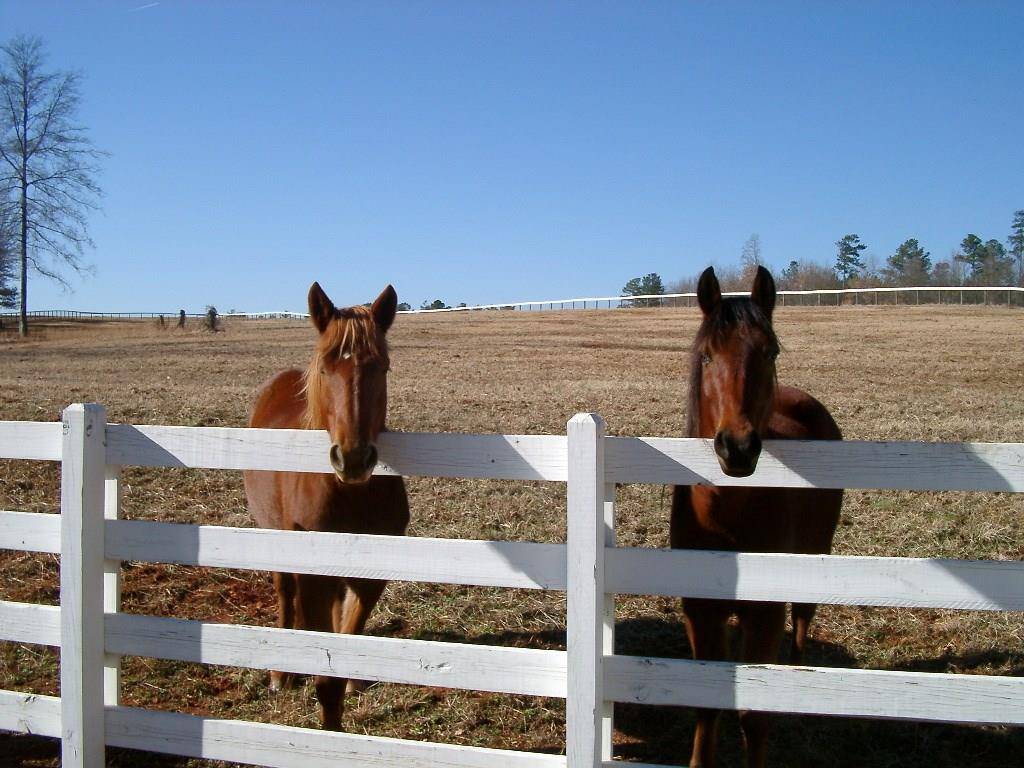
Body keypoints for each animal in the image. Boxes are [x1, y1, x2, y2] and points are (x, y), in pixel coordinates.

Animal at [242, 284, 407, 733]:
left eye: (382, 367)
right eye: (325, 368)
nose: (352, 459)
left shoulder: (371, 575)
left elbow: (347, 634)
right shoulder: (312, 574)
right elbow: (325, 676)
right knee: (285, 596)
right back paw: (280, 674)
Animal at [667, 266, 843, 768]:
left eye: (770, 351)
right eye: (707, 356)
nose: (738, 447)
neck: (727, 518)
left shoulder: (763, 614)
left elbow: (754, 715)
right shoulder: (700, 611)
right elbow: (707, 707)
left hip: (816, 552)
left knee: (803, 617)